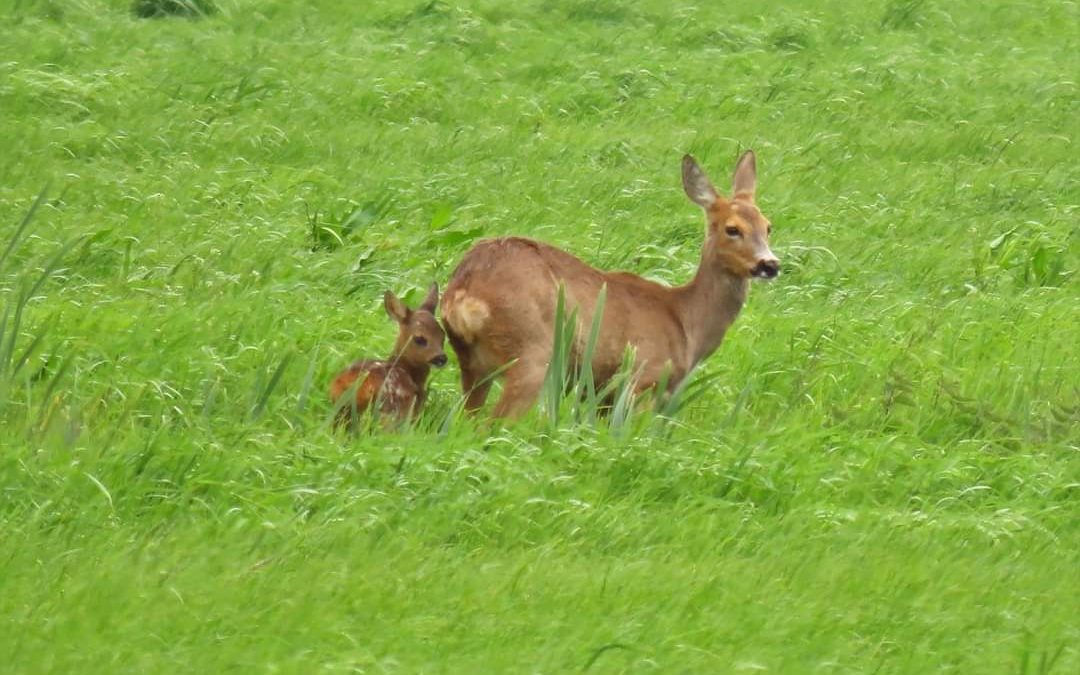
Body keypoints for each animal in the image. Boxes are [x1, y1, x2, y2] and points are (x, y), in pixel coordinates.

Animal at [442, 150, 781, 419]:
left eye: (768, 227)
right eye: (732, 229)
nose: (770, 264)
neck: (686, 321)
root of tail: (462, 294)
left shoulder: (604, 395)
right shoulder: (644, 379)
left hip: (473, 365)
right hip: (532, 353)